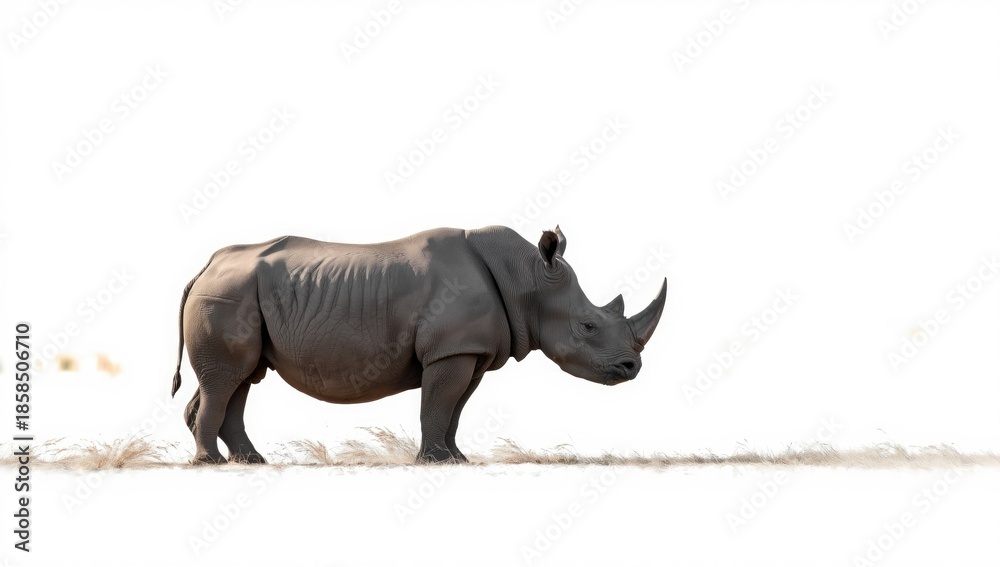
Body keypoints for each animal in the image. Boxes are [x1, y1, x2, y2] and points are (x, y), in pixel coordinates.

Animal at [170, 225, 667, 464]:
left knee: (241, 378)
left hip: (235, 294)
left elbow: (454, 409)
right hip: (228, 295)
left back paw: (251, 462)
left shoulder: (469, 351)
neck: (525, 276)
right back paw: (211, 464)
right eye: (588, 326)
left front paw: (457, 459)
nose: (632, 368)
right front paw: (434, 462)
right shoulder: (451, 350)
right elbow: (438, 404)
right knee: (227, 379)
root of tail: (204, 268)